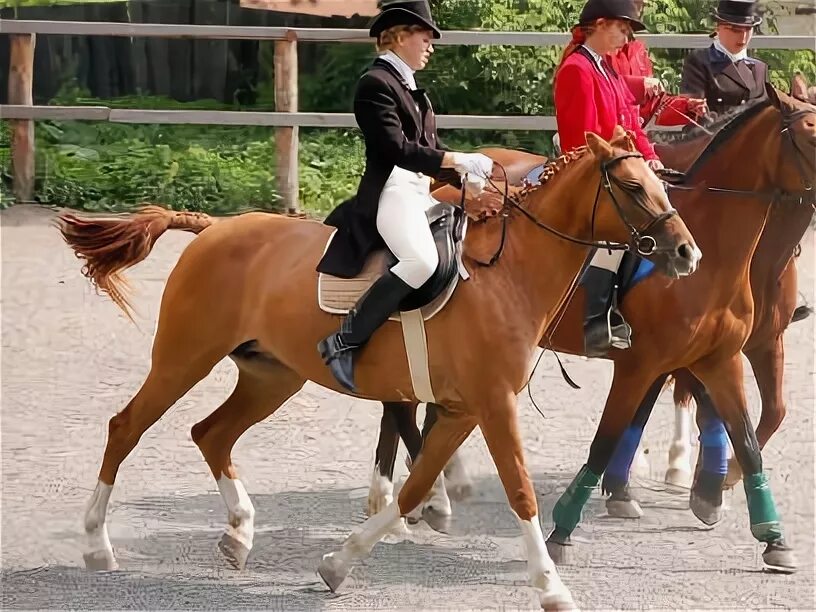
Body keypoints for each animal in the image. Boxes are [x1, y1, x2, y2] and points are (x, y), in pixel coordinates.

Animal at [57, 126, 700, 608]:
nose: (687, 252)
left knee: (210, 433)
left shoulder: (465, 410)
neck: (509, 270)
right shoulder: (494, 404)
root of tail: (217, 227)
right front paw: (552, 589)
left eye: (659, 183)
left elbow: (414, 488)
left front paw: (338, 564)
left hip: (271, 377)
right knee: (126, 427)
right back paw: (96, 546)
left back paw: (239, 533)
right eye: (633, 187)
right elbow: (519, 491)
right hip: (184, 357)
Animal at [372, 88, 816, 572]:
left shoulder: (721, 359)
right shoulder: (641, 365)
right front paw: (565, 530)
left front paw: (771, 536)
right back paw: (412, 500)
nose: (685, 254)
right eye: (812, 134)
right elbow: (606, 442)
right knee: (400, 407)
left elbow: (750, 439)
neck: (717, 256)